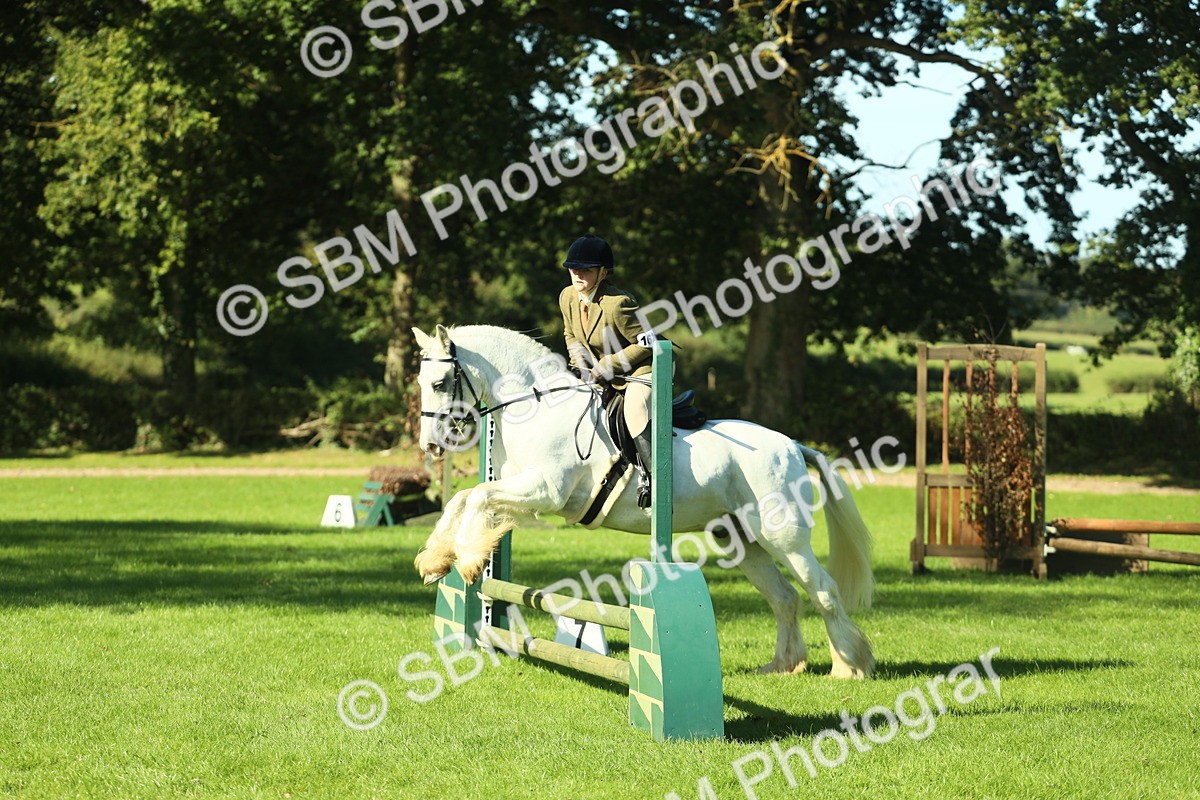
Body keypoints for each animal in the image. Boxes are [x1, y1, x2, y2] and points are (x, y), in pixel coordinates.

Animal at [411, 324, 876, 679]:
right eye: (420, 384)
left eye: (439, 384)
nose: (430, 446)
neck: (537, 406)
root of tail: (792, 445)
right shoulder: (520, 487)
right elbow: (464, 499)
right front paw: (436, 561)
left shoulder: (546, 490)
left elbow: (477, 498)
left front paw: (469, 562)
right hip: (742, 540)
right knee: (784, 598)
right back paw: (783, 665)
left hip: (783, 535)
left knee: (823, 590)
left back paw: (849, 666)